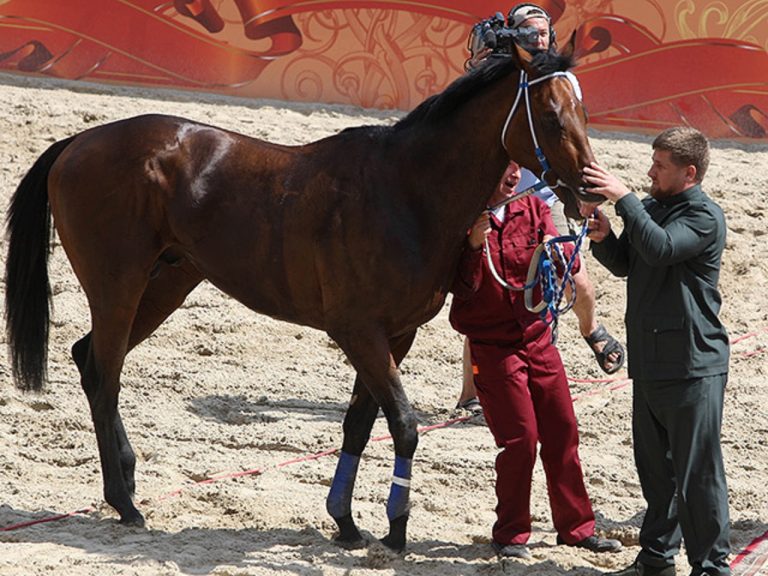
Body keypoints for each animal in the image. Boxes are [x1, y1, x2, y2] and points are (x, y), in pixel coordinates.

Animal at [3, 38, 604, 552]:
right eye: (552, 117)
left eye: (584, 112)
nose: (590, 192)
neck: (405, 191)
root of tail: (79, 142)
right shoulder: (358, 331)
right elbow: (404, 425)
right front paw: (396, 528)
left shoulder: (395, 335)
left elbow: (361, 423)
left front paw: (346, 521)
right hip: (118, 286)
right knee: (105, 377)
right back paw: (126, 503)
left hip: (164, 285)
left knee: (89, 360)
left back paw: (125, 484)